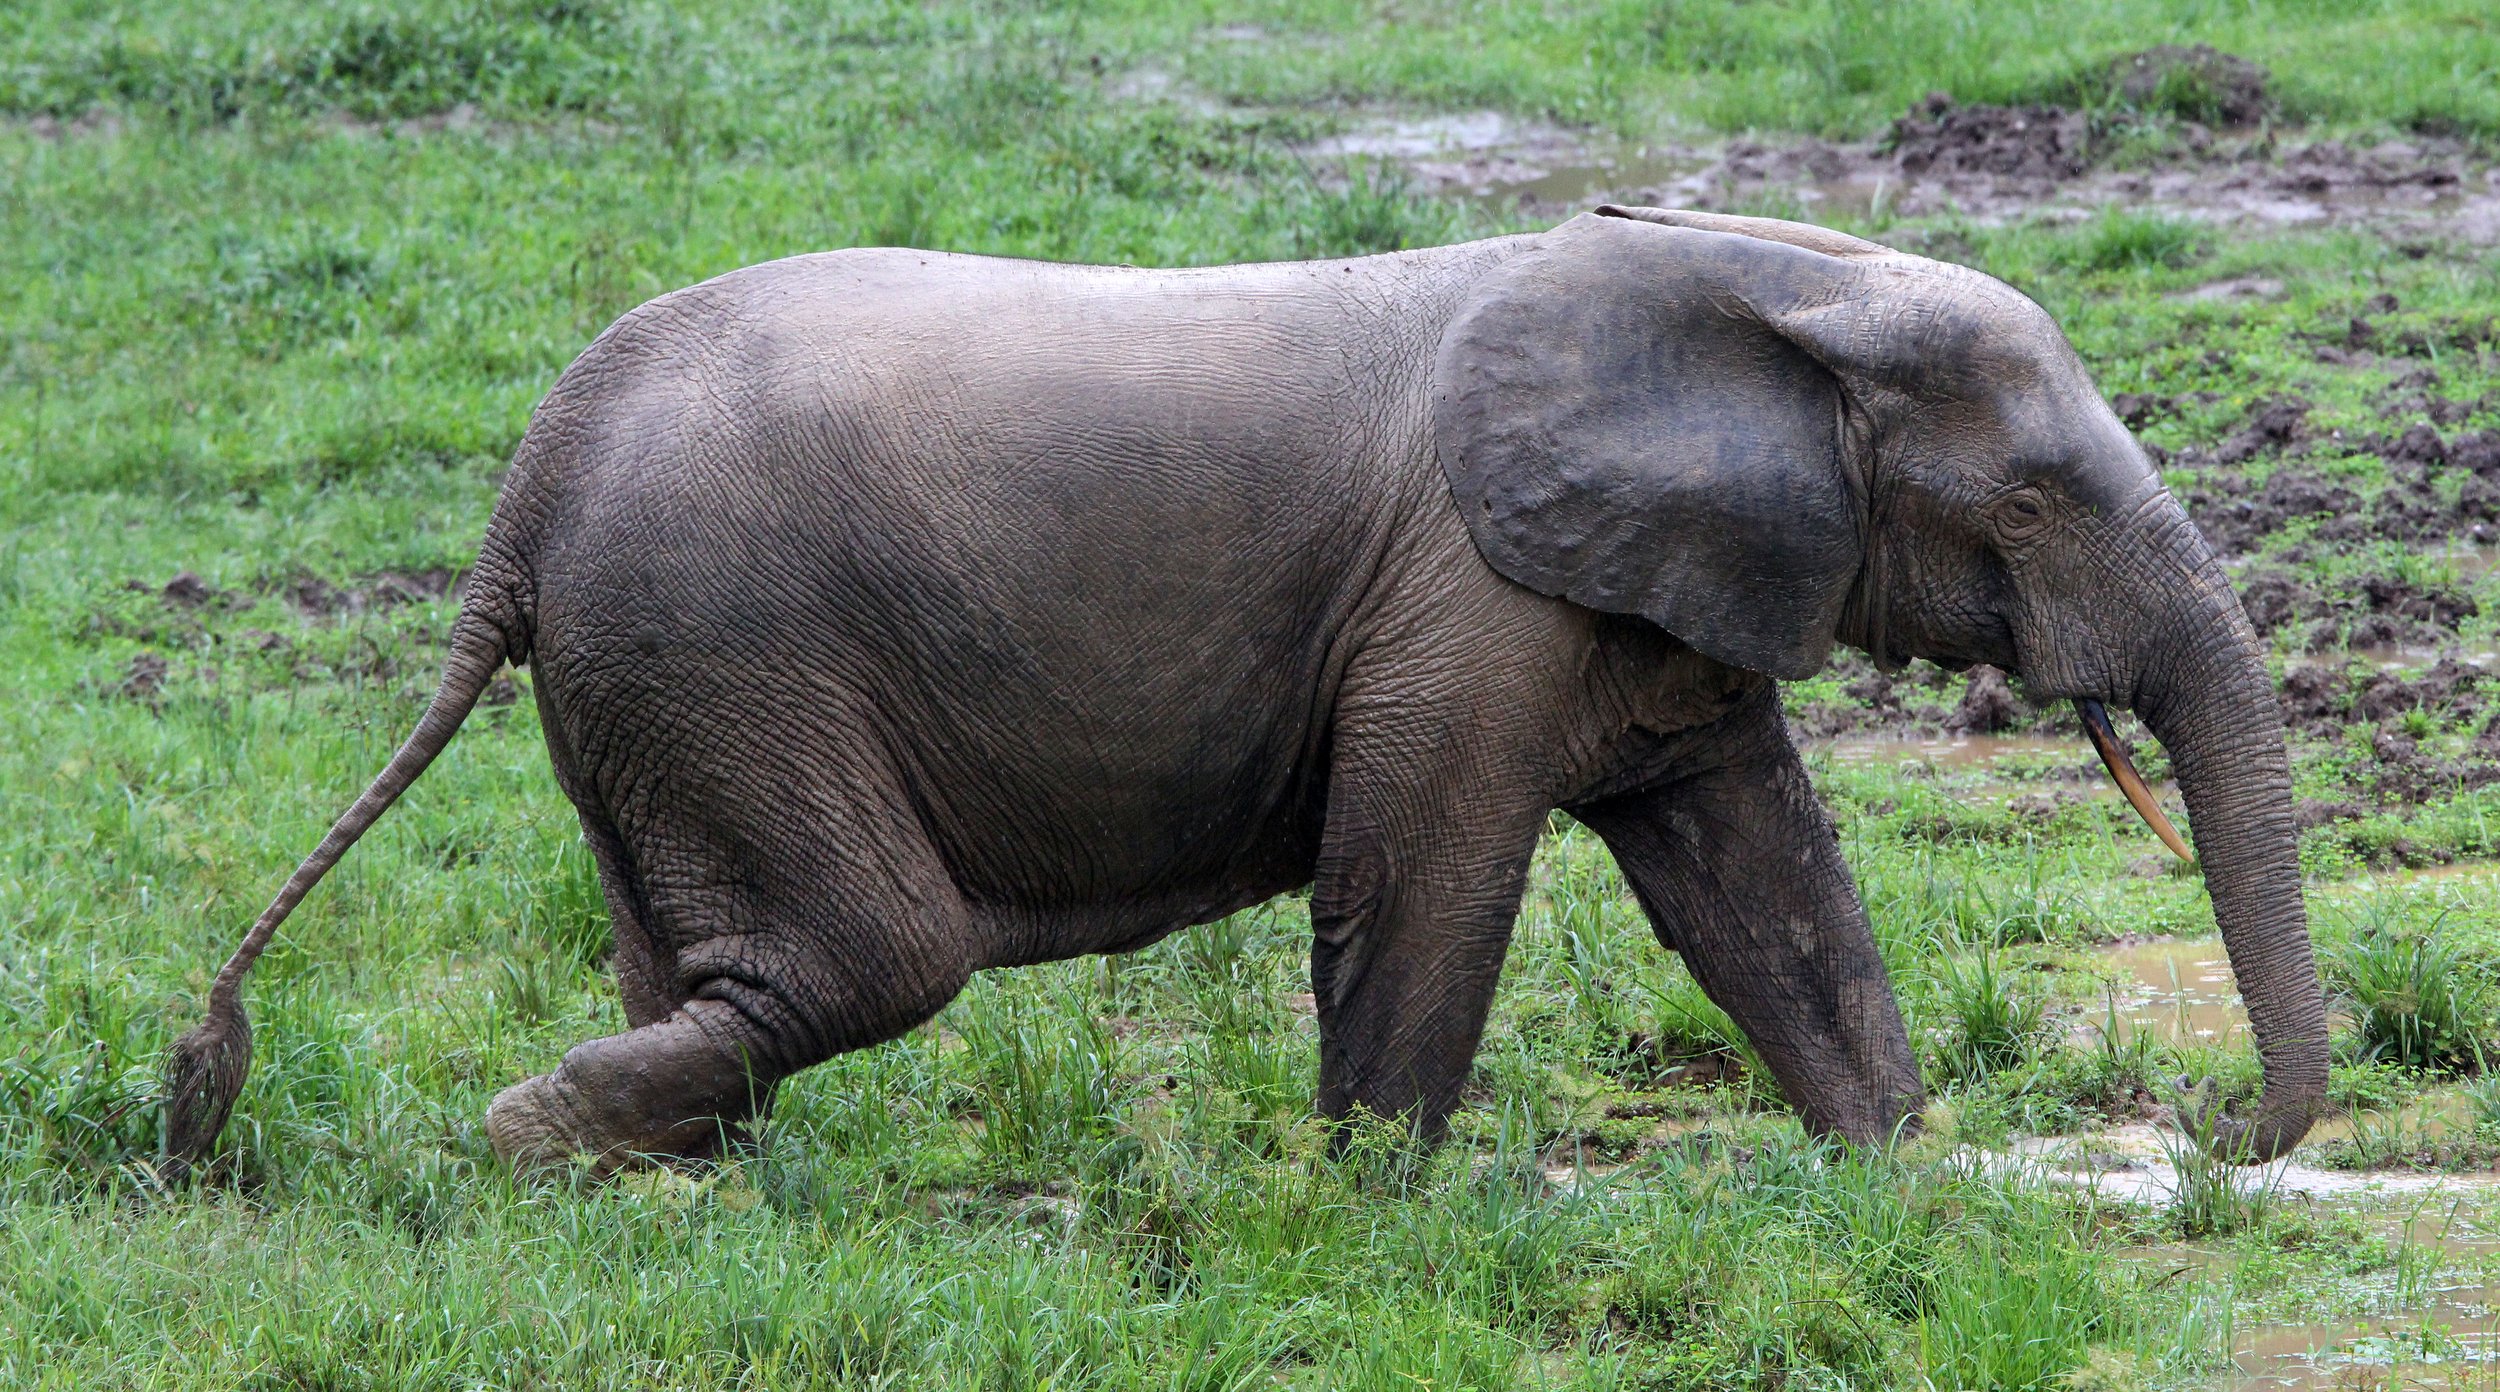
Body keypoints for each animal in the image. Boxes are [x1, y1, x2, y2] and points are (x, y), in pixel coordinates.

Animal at [162, 205, 2329, 1177]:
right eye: (2034, 498)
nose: (2217, 1138)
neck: (1772, 275)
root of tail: (522, 493)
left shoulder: (1654, 600)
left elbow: (1757, 877)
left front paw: (1898, 1176)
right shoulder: (1466, 602)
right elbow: (1427, 870)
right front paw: (1379, 1210)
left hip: (652, 669)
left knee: (701, 949)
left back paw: (660, 1174)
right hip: (723, 643)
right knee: (873, 954)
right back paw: (533, 1133)